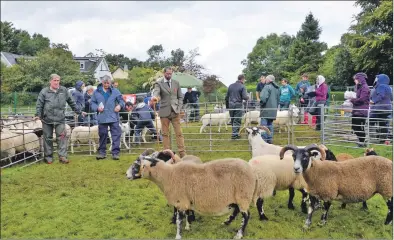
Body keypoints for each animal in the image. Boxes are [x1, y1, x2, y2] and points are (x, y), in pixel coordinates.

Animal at [125, 151, 255, 239]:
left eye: (136, 164)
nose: (126, 175)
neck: (168, 175)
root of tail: (250, 169)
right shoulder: (186, 200)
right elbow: (186, 215)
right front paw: (188, 227)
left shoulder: (180, 201)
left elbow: (179, 221)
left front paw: (178, 235)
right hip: (237, 197)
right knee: (237, 210)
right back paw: (226, 222)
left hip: (243, 195)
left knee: (246, 216)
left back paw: (239, 234)